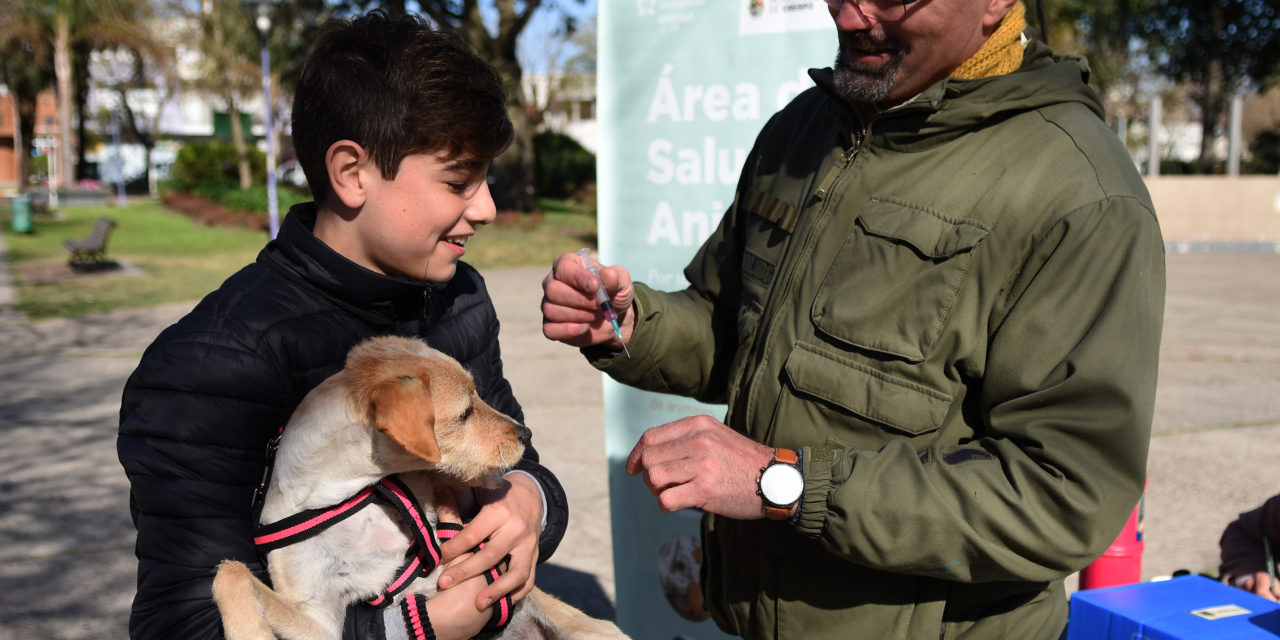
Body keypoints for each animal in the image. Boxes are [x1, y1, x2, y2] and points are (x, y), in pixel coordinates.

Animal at [212, 337, 627, 637]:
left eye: (478, 395)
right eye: (464, 412)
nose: (526, 433)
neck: (354, 494)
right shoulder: (319, 618)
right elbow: (230, 572)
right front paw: (249, 633)